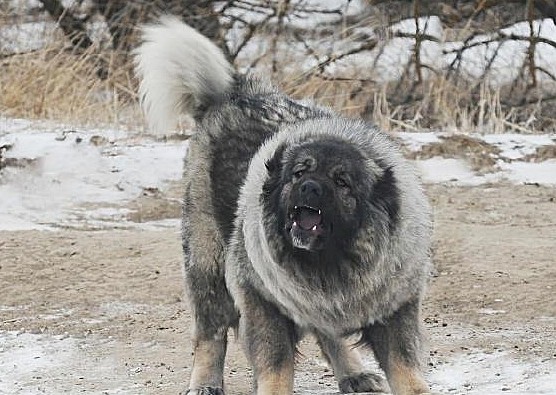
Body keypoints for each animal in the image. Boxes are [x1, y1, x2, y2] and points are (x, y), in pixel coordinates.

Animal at [136, 16, 434, 395]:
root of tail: (234, 94)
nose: (309, 187)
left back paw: (354, 373)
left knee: (326, 333)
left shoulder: (393, 310)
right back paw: (204, 382)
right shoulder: (263, 303)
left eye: (342, 182)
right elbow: (276, 365)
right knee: (210, 333)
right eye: (298, 173)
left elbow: (405, 370)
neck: (332, 266)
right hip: (208, 262)